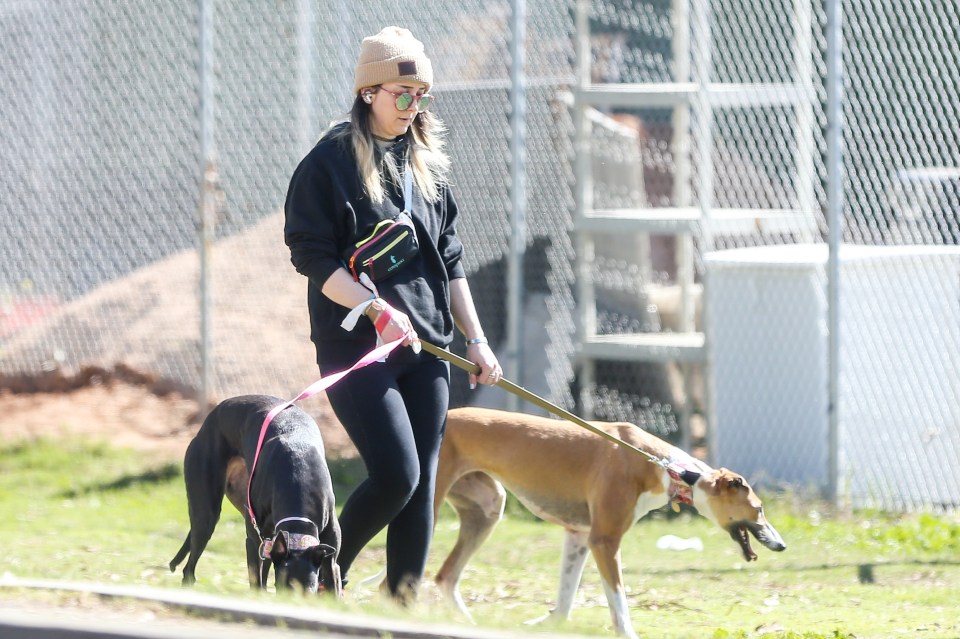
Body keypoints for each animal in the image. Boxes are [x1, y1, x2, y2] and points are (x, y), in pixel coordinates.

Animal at [169, 396, 342, 596]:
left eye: (309, 591)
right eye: (284, 588)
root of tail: (206, 422)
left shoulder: (329, 553)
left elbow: (332, 577)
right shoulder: (254, 539)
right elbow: (256, 579)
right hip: (207, 514)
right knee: (190, 565)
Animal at [436, 408, 788, 636]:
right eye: (759, 509)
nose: (782, 545)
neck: (665, 468)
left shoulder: (579, 535)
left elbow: (564, 601)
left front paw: (545, 624)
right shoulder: (604, 541)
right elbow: (619, 604)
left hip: (487, 508)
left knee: (445, 577)